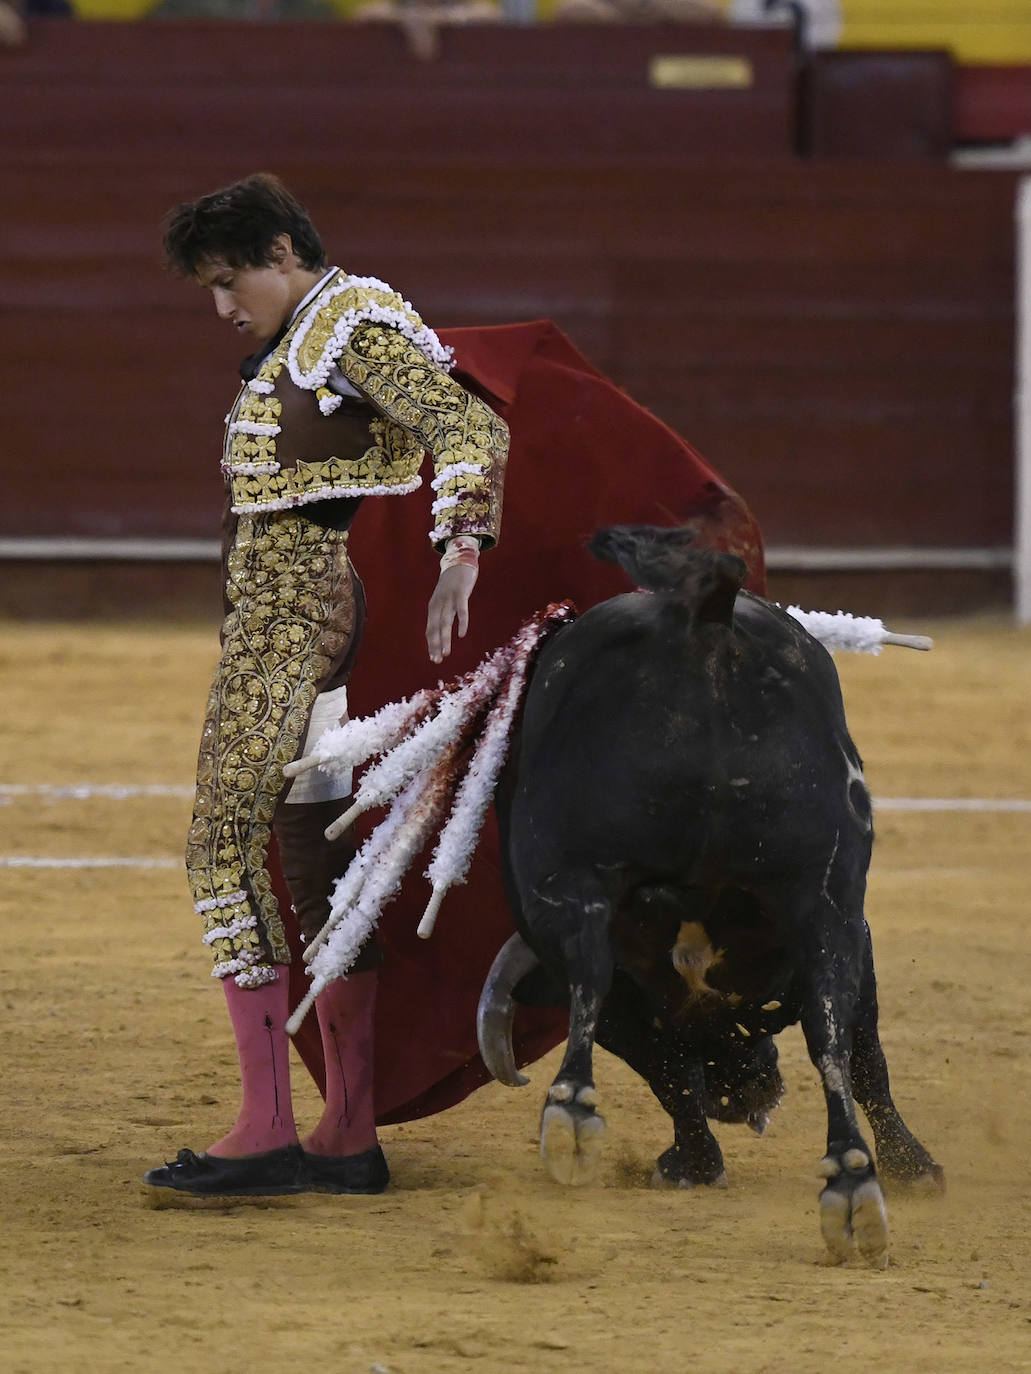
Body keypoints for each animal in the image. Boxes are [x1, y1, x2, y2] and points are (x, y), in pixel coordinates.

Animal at [478, 522, 945, 1264]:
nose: (748, 1096)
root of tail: (705, 624)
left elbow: (662, 1058)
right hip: (823, 901)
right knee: (829, 1027)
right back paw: (851, 1183)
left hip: (571, 875)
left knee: (590, 972)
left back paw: (572, 1109)